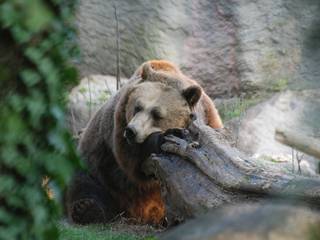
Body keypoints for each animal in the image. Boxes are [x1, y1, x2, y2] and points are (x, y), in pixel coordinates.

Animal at [67, 59, 222, 225]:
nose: (131, 131)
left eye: (157, 114)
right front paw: (164, 137)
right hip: (98, 161)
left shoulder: (209, 120)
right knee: (86, 182)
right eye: (137, 107)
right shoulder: (118, 126)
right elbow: (132, 160)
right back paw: (87, 208)